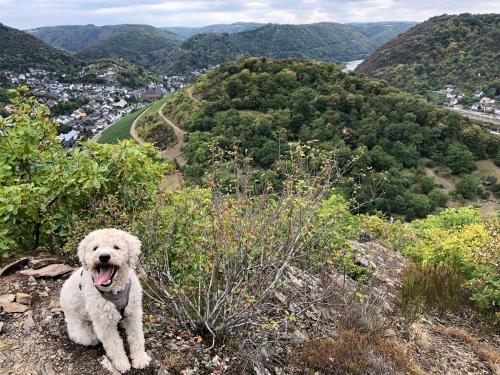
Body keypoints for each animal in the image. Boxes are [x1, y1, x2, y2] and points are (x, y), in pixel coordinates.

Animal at [60, 229, 150, 374]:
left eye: (116, 247)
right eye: (95, 248)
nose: (103, 257)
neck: (115, 290)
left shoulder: (133, 313)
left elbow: (137, 337)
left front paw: (140, 358)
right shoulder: (104, 322)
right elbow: (114, 344)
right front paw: (122, 363)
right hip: (84, 332)